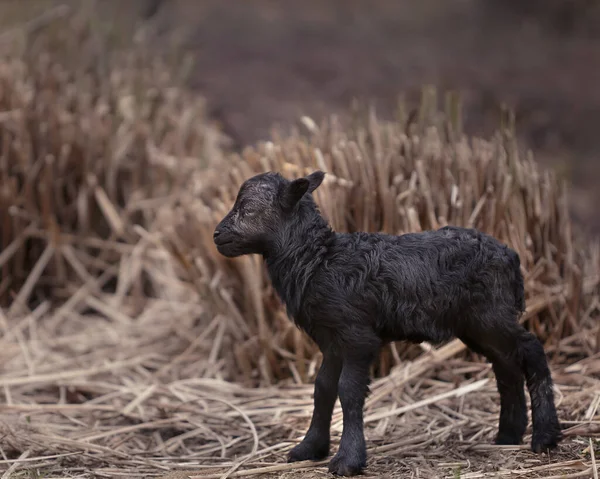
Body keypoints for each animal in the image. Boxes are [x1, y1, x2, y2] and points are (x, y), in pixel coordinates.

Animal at [214, 172, 564, 476]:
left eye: (247, 208)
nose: (216, 234)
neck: (318, 260)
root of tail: (512, 258)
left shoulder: (357, 336)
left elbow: (348, 390)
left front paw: (348, 461)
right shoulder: (331, 339)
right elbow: (322, 389)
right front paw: (309, 449)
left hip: (491, 314)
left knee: (532, 350)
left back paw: (545, 437)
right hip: (476, 325)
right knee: (506, 367)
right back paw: (508, 436)